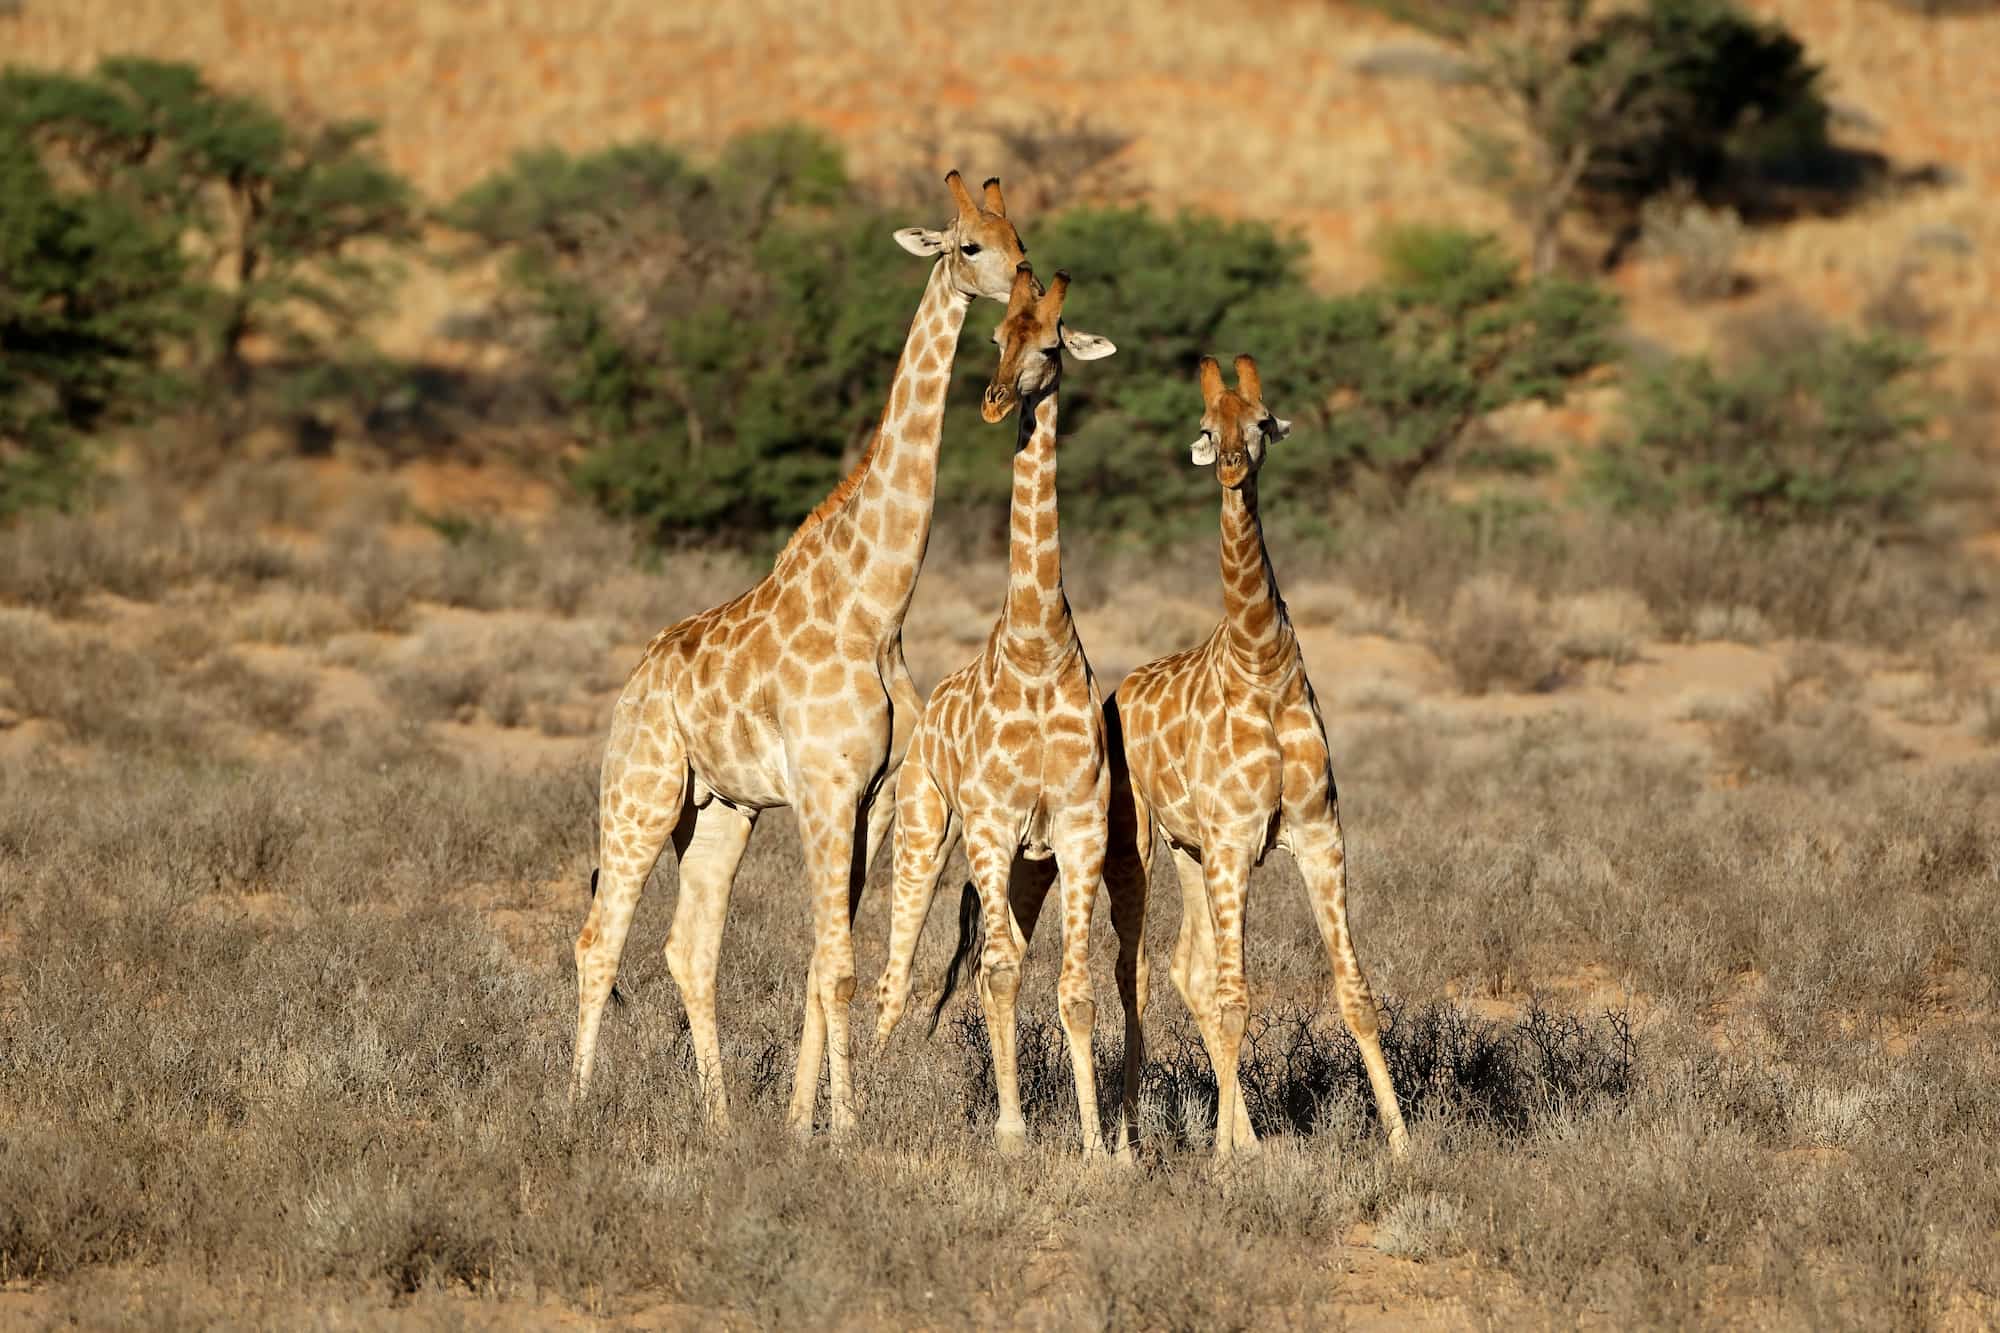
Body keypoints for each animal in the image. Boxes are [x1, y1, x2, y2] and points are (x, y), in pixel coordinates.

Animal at [570, 172, 1092, 1140]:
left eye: (1025, 247)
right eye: (970, 246)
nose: (1019, 289)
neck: (875, 605)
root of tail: (635, 679)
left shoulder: (873, 797)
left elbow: (827, 961)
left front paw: (801, 1120)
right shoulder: (824, 786)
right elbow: (840, 965)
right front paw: (843, 1126)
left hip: (722, 808)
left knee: (688, 947)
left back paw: (720, 1117)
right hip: (641, 789)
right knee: (598, 939)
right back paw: (579, 1104)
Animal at [871, 263, 1142, 1158]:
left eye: (1051, 345)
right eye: (994, 336)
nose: (992, 401)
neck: (1035, 641)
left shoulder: (1080, 826)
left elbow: (1074, 986)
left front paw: (1099, 1147)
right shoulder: (989, 822)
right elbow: (994, 972)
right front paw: (1014, 1129)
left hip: (1028, 864)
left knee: (1007, 951)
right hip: (926, 828)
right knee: (898, 968)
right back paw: (866, 1095)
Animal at [1102, 354, 1411, 1164]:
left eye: (1264, 421)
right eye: (1208, 426)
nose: (1232, 466)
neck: (1261, 662)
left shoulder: (1316, 830)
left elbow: (1354, 990)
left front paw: (1404, 1142)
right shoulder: (1236, 838)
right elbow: (1237, 997)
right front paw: (1220, 1159)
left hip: (1190, 850)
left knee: (1187, 966)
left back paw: (1241, 1135)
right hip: (1139, 842)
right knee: (1137, 970)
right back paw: (1129, 1143)